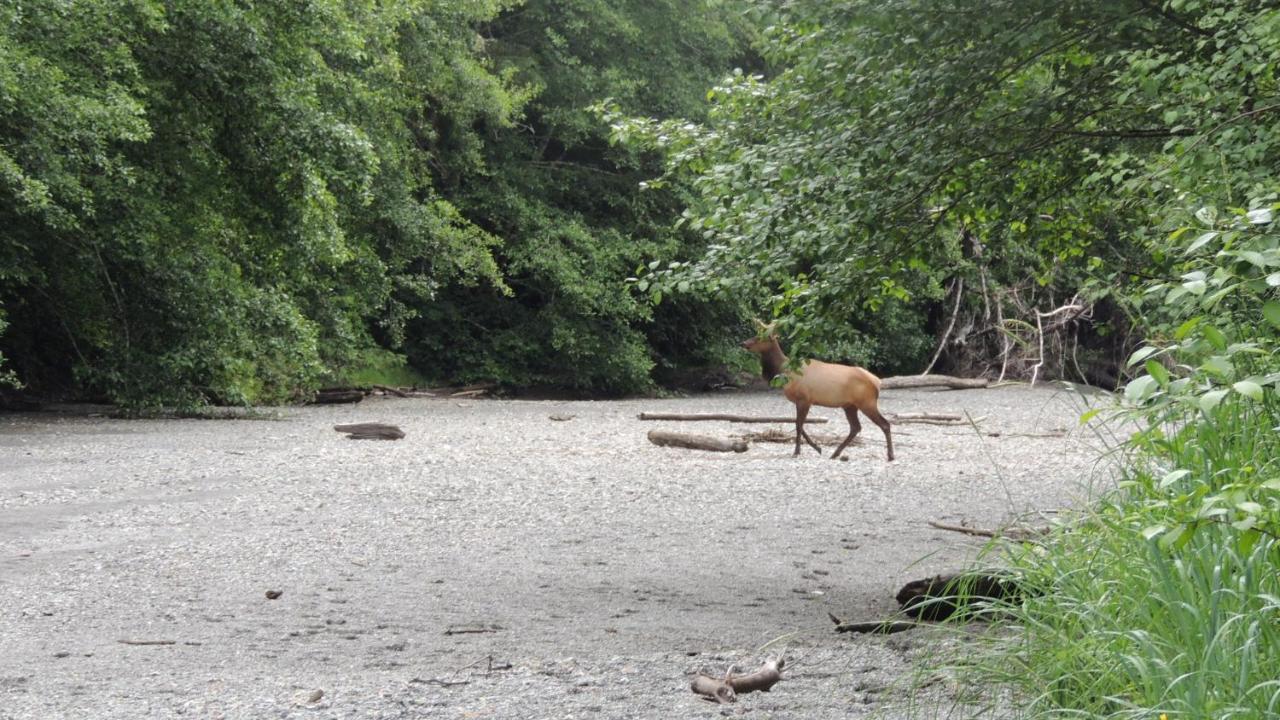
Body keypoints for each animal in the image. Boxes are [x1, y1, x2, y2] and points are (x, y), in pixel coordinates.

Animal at [747, 319, 896, 458]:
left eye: (761, 337)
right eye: (756, 334)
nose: (744, 343)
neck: (785, 372)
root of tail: (877, 382)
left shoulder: (804, 399)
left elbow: (798, 425)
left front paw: (797, 451)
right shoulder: (801, 401)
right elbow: (799, 424)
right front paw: (817, 448)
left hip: (867, 402)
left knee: (884, 424)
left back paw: (890, 455)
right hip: (850, 405)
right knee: (855, 427)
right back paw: (835, 453)